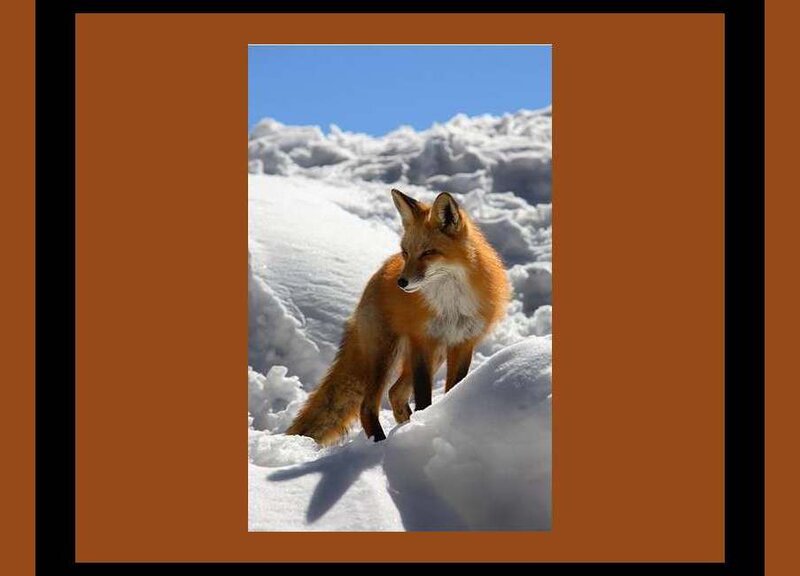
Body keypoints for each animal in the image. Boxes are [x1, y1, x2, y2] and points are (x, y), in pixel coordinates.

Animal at [286, 188, 510, 444]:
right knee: (368, 406)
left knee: (394, 393)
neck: (450, 303)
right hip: (386, 354)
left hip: (433, 355)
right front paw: (423, 426)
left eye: (428, 253)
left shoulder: (463, 342)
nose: (401, 282)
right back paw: (381, 442)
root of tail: (376, 276)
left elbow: (454, 387)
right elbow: (423, 396)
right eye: (407, 252)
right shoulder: (422, 341)